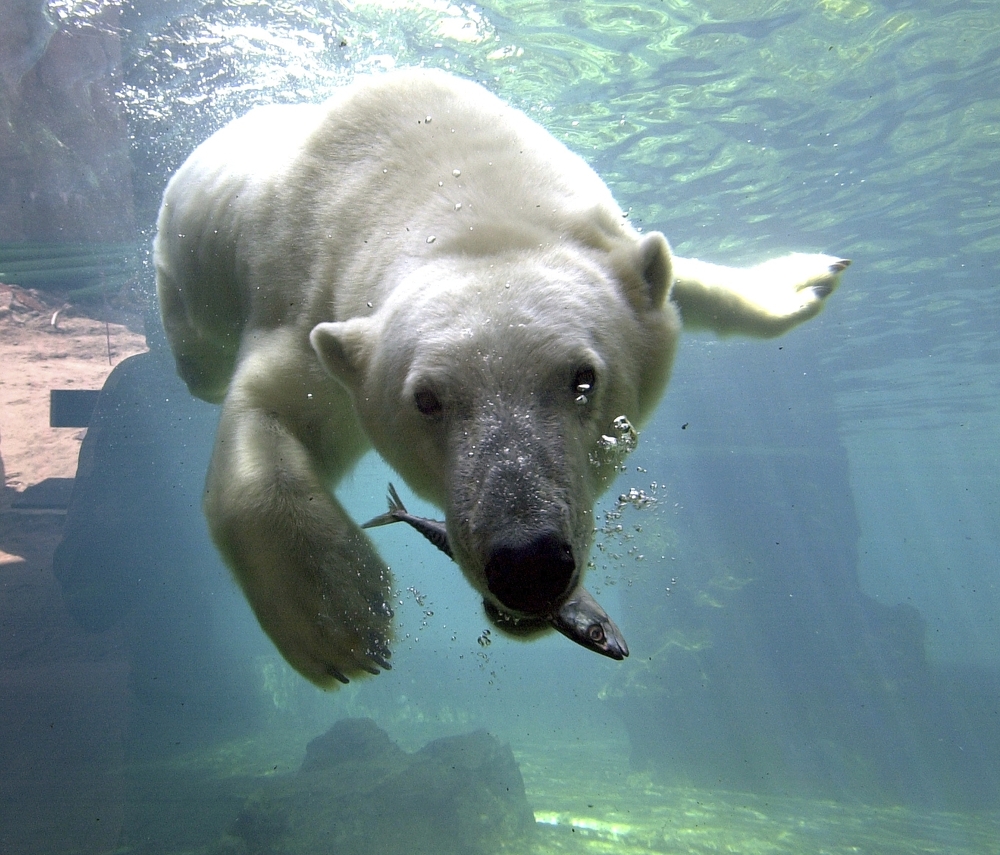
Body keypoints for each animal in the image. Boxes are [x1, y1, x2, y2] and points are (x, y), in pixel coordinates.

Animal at [154, 68, 844, 688]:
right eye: (426, 400)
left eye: (583, 379)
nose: (529, 564)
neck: (453, 185)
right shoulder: (308, 302)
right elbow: (268, 410)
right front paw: (339, 620)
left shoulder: (602, 240)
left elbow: (669, 282)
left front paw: (804, 281)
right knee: (202, 361)